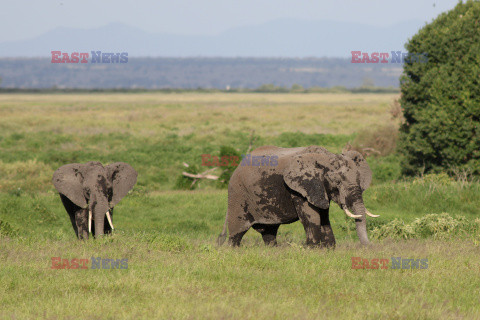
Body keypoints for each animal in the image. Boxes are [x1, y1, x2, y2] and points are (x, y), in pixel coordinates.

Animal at [218, 146, 378, 248]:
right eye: (337, 182)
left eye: (359, 179)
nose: (369, 247)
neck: (326, 157)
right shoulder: (299, 188)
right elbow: (311, 216)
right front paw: (314, 249)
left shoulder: (318, 189)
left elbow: (324, 216)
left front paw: (329, 249)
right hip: (238, 195)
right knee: (237, 233)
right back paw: (233, 250)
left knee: (269, 233)